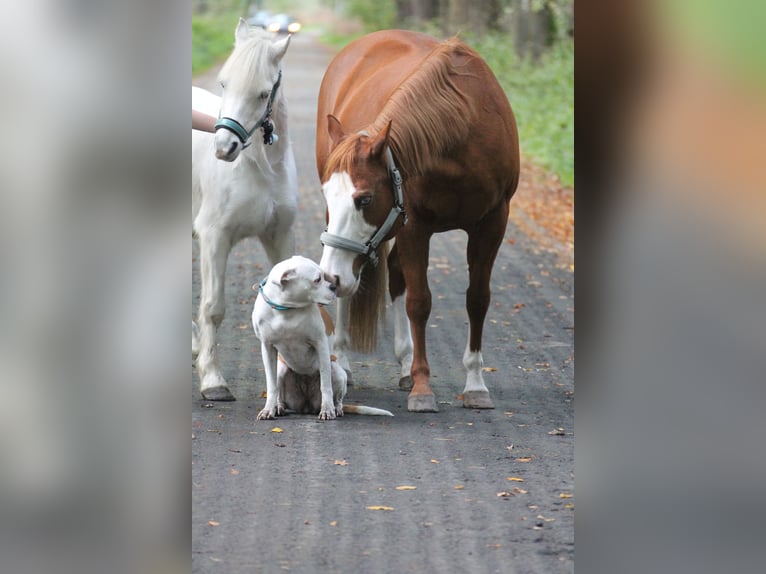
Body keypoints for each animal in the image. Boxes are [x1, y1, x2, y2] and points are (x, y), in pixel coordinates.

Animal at [194, 20, 298, 402]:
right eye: (224, 83)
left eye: (263, 93)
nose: (224, 148)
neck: (259, 168)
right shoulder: (214, 238)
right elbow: (213, 307)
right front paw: (212, 381)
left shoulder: (279, 236)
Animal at [254, 258, 396, 420]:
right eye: (317, 280)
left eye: (323, 275)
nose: (334, 287)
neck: (286, 310)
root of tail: (306, 407)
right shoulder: (267, 347)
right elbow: (272, 386)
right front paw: (268, 410)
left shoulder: (320, 344)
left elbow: (326, 385)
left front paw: (327, 409)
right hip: (281, 369)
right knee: (280, 392)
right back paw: (278, 407)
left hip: (338, 373)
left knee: (337, 398)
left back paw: (336, 408)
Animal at [316, 30, 520, 414]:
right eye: (328, 196)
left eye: (365, 199)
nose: (330, 278)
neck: (462, 131)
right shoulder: (414, 226)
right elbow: (419, 302)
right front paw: (424, 387)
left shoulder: (492, 223)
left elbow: (477, 299)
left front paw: (475, 384)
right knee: (355, 292)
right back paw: (343, 358)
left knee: (394, 275)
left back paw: (403, 363)